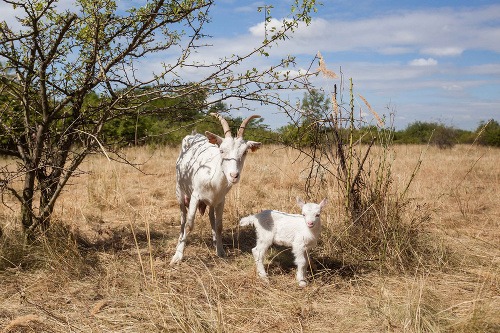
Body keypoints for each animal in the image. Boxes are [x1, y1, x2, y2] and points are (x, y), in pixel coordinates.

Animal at [170, 113, 262, 264]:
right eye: (222, 150)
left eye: (244, 152)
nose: (234, 175)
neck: (212, 176)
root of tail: (194, 134)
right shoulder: (195, 196)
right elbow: (189, 224)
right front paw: (177, 256)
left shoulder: (221, 200)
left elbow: (219, 226)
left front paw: (220, 251)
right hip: (180, 192)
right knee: (183, 218)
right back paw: (180, 240)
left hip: (212, 202)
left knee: (211, 217)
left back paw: (214, 242)